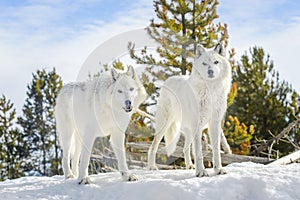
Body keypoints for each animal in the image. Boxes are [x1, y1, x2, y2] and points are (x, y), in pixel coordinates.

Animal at [148, 43, 232, 177]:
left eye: (216, 62)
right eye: (204, 63)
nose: (210, 72)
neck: (210, 92)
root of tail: (168, 80)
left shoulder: (214, 124)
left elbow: (216, 151)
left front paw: (218, 169)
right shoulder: (198, 125)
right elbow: (198, 152)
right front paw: (201, 172)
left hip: (189, 131)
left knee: (185, 148)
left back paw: (189, 166)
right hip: (165, 126)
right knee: (153, 146)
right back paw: (151, 167)